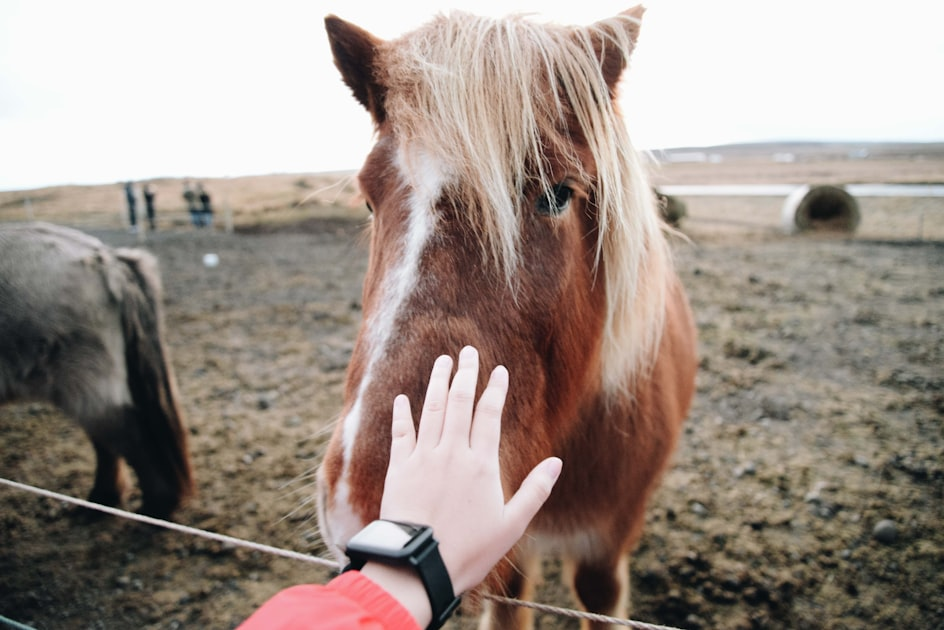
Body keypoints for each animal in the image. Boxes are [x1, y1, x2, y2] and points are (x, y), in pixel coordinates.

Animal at [0, 222, 194, 519]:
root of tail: (106, 259)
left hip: (83, 378)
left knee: (123, 437)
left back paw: (149, 508)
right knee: (108, 441)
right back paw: (107, 500)